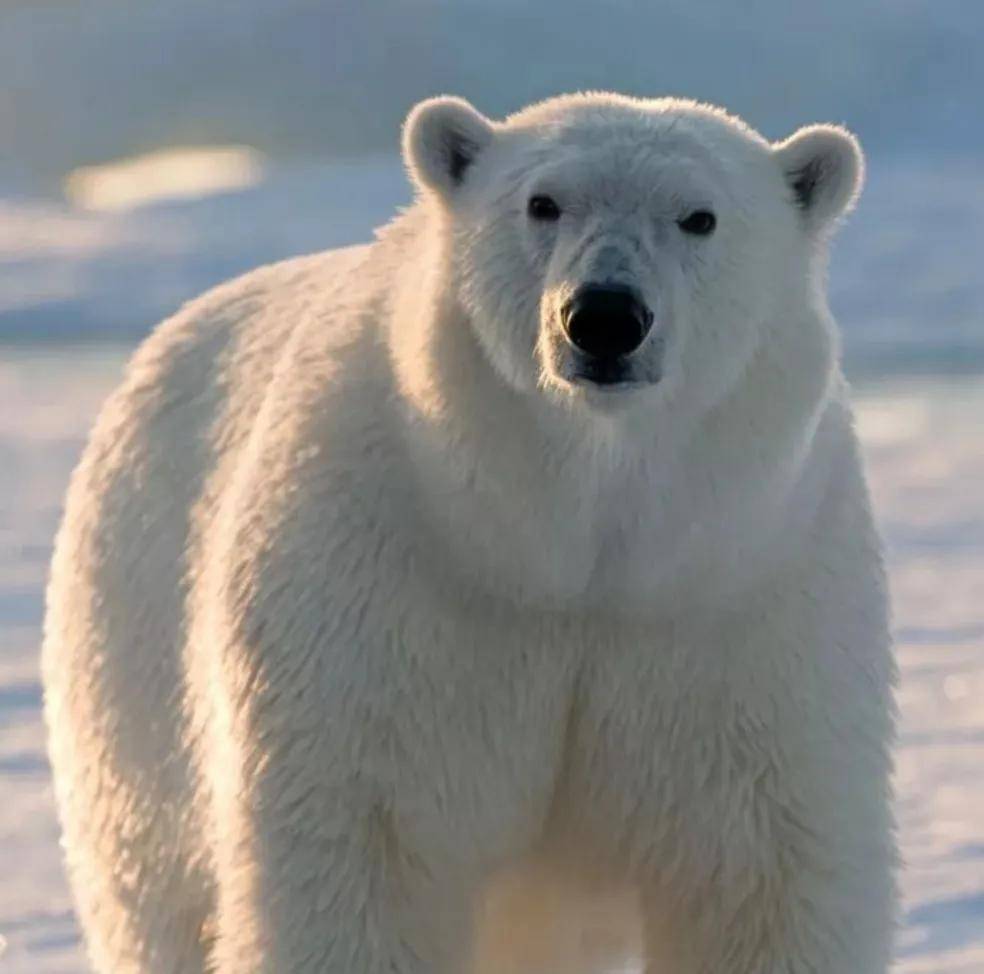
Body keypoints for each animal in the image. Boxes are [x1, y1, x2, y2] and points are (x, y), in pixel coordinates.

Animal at [43, 92, 897, 974]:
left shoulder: (740, 602)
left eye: (700, 217)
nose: (604, 316)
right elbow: (364, 847)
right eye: (543, 202)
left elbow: (760, 869)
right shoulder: (386, 595)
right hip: (128, 651)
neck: (570, 546)